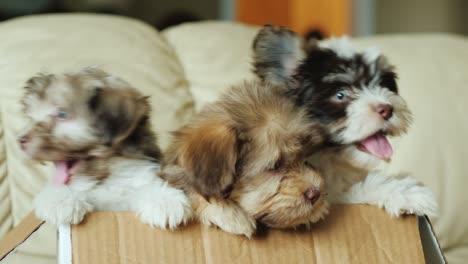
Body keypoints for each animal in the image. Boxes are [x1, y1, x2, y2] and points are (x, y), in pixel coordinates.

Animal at [18, 67, 190, 228]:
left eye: (62, 114)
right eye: (32, 118)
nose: (21, 140)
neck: (105, 175)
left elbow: (147, 186)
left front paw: (164, 200)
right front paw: (60, 199)